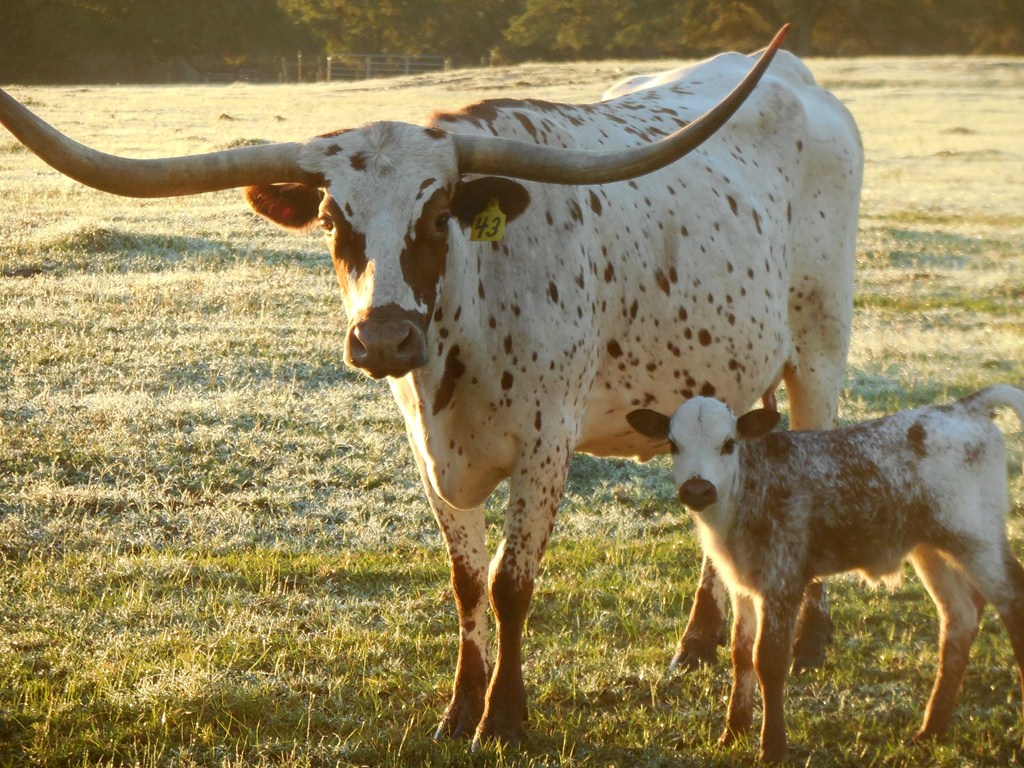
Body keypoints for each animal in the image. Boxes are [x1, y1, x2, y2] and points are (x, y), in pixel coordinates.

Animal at [0, 26, 863, 747]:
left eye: (439, 211)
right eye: (331, 219)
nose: (384, 339)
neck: (473, 317)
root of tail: (797, 79)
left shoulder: (547, 446)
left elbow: (511, 585)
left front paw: (506, 717)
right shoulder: (430, 452)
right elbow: (465, 583)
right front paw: (459, 707)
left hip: (820, 341)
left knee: (817, 438)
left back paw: (808, 638)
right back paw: (697, 641)